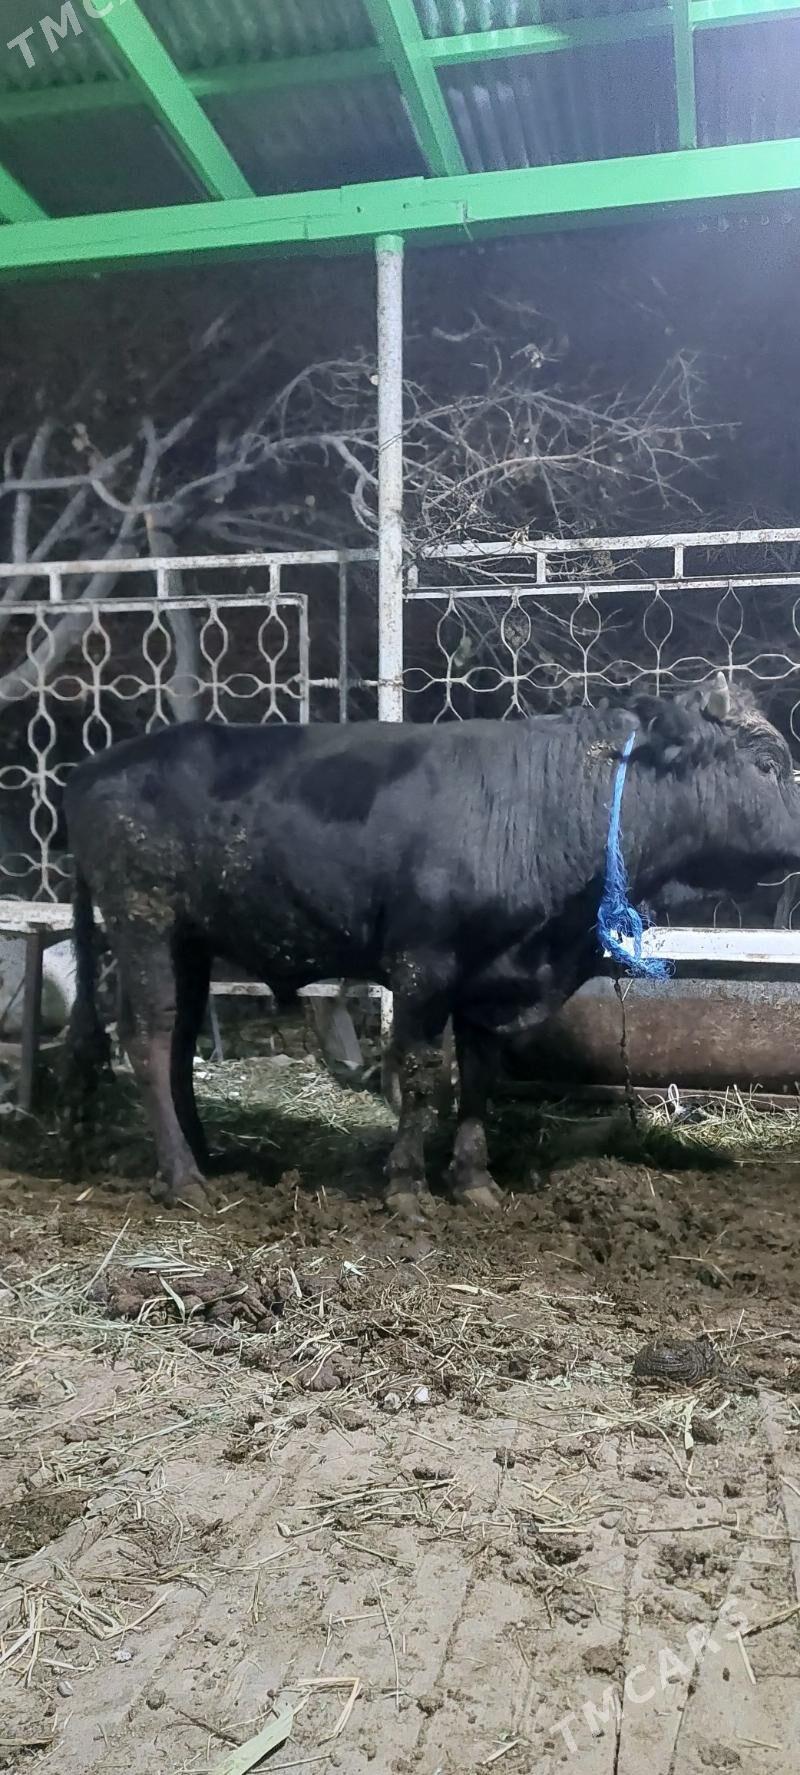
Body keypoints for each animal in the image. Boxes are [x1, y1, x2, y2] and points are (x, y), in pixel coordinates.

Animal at [63, 674, 800, 1218]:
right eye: (769, 763)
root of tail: (98, 765)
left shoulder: (491, 978)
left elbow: (479, 1076)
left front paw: (474, 1180)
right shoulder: (425, 965)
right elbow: (420, 1073)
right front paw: (407, 1187)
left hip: (189, 940)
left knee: (181, 1039)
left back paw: (203, 1153)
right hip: (143, 919)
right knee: (150, 1037)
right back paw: (184, 1176)